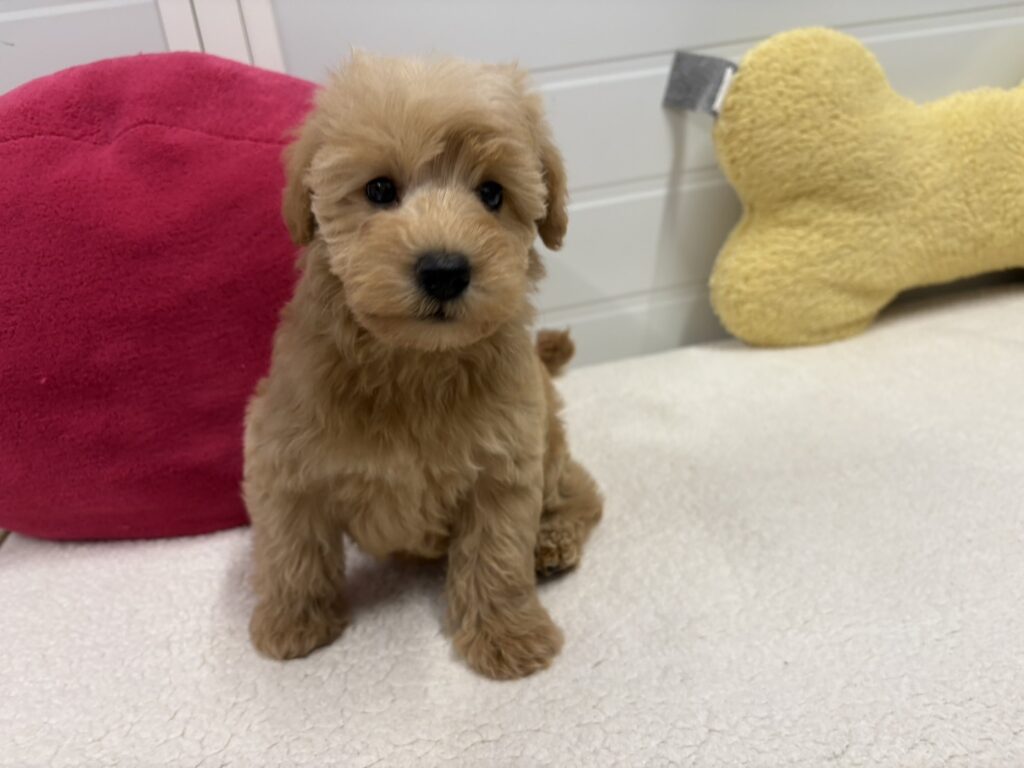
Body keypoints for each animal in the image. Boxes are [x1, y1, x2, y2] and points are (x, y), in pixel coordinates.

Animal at [243, 53, 603, 679]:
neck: (413, 364)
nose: (444, 271)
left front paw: (509, 636)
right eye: (380, 189)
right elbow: (291, 545)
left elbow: (496, 554)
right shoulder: (282, 453)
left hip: (550, 446)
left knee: (582, 490)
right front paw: (293, 623)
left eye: (492, 194)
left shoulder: (505, 463)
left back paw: (552, 541)